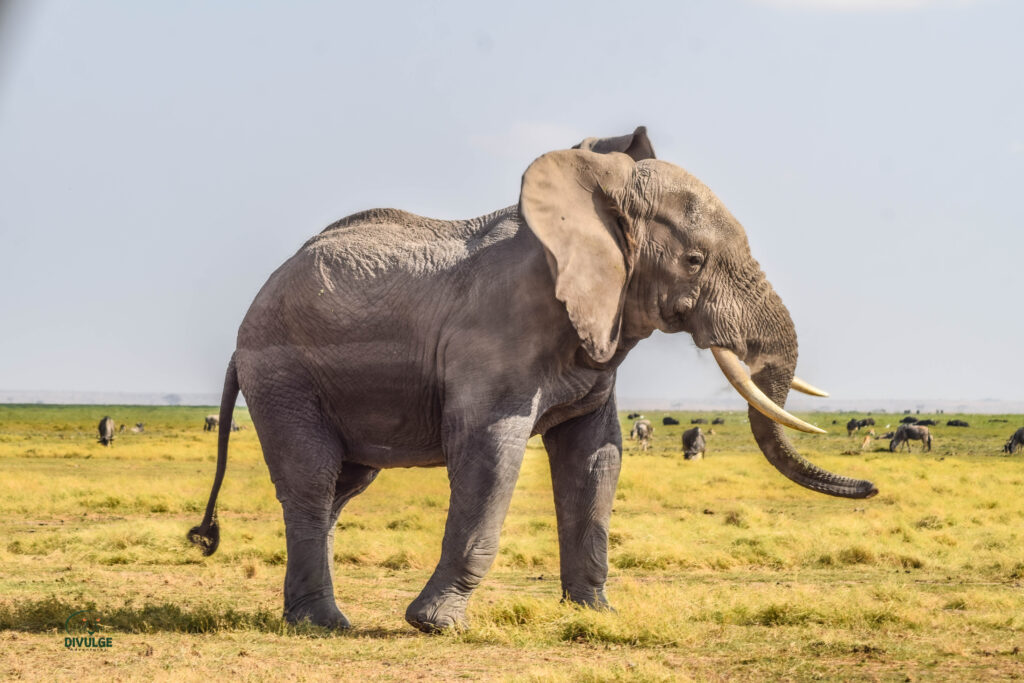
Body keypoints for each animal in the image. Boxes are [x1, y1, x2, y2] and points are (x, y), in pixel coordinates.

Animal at [188, 126, 876, 634]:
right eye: (694, 260)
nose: (868, 486)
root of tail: (244, 329)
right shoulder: (496, 339)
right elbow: (491, 455)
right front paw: (436, 626)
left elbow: (597, 457)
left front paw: (597, 616)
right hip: (283, 373)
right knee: (312, 478)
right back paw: (327, 625)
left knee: (343, 486)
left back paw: (308, 617)